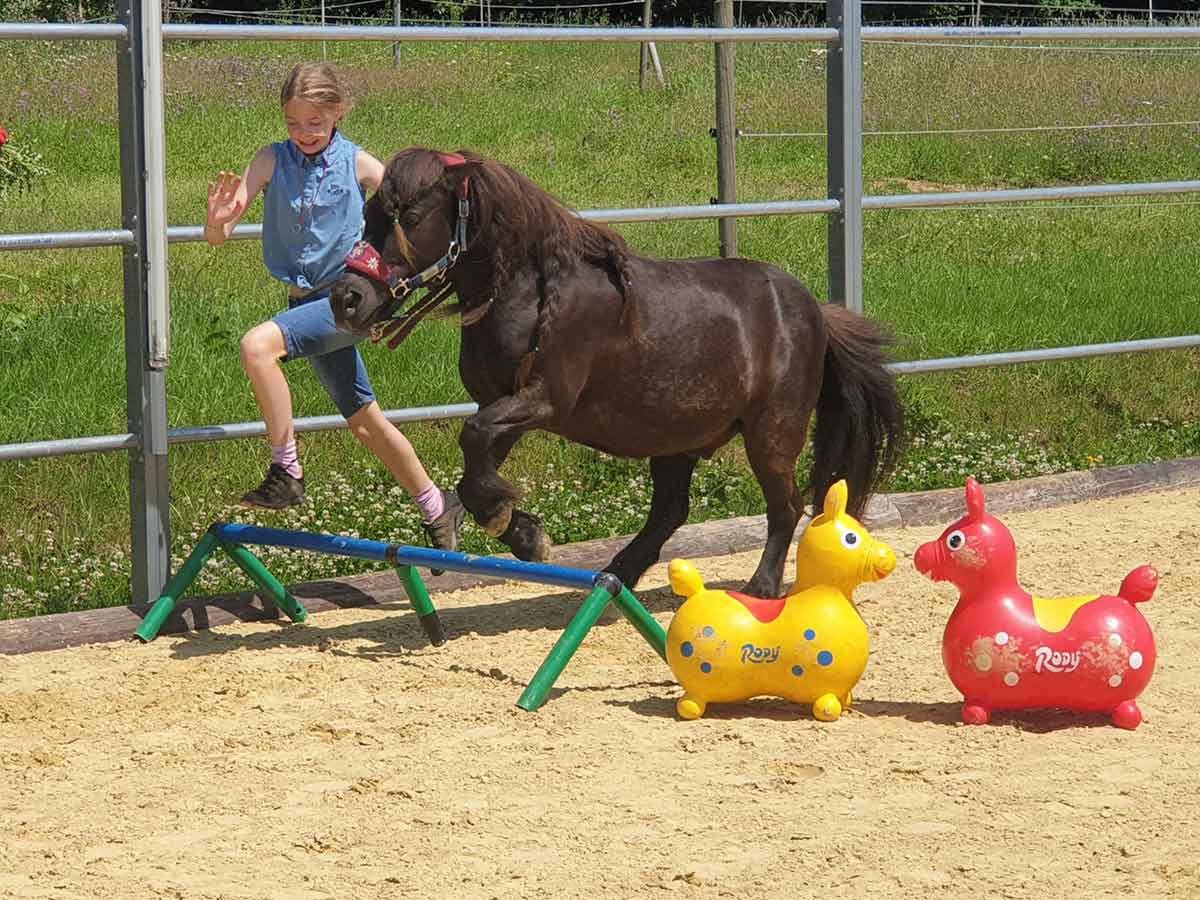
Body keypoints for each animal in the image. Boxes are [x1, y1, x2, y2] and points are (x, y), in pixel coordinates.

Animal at [328, 148, 902, 600]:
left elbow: (473, 442)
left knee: (786, 508)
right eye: (370, 213)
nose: (346, 299)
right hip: (677, 438)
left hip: (772, 432)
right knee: (671, 511)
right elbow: (474, 470)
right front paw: (520, 531)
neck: (528, 293)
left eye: (410, 213)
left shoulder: (543, 401)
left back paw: (759, 588)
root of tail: (813, 308)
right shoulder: (501, 406)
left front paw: (518, 528)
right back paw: (616, 578)